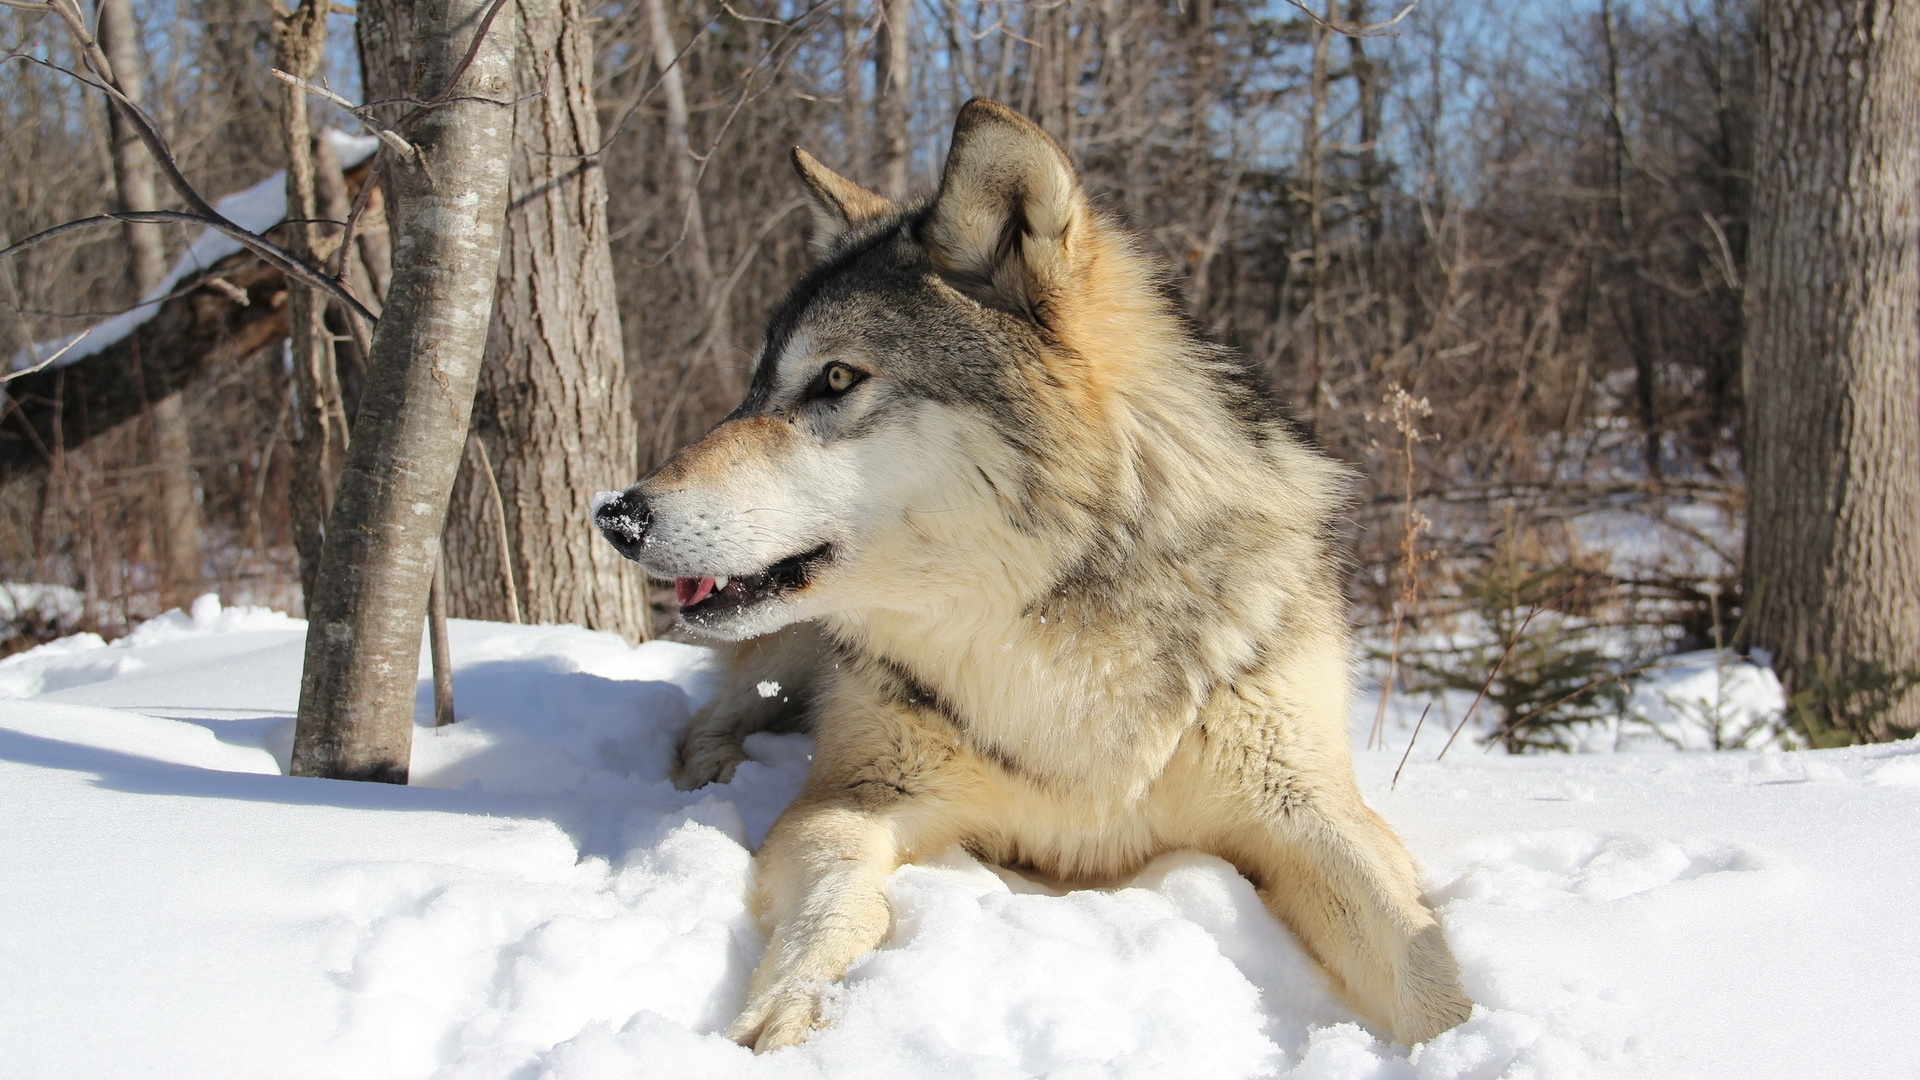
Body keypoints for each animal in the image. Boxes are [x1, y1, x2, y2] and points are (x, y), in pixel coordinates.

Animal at [591, 98, 1474, 1045]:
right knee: (710, 718)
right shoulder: (851, 793)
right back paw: (712, 774)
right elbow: (839, 903)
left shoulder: (1310, 808)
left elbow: (1420, 957)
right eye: (756, 389)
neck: (1050, 625)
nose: (617, 515)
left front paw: (1465, 1041)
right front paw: (787, 1009)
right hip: (789, 652)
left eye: (834, 378)